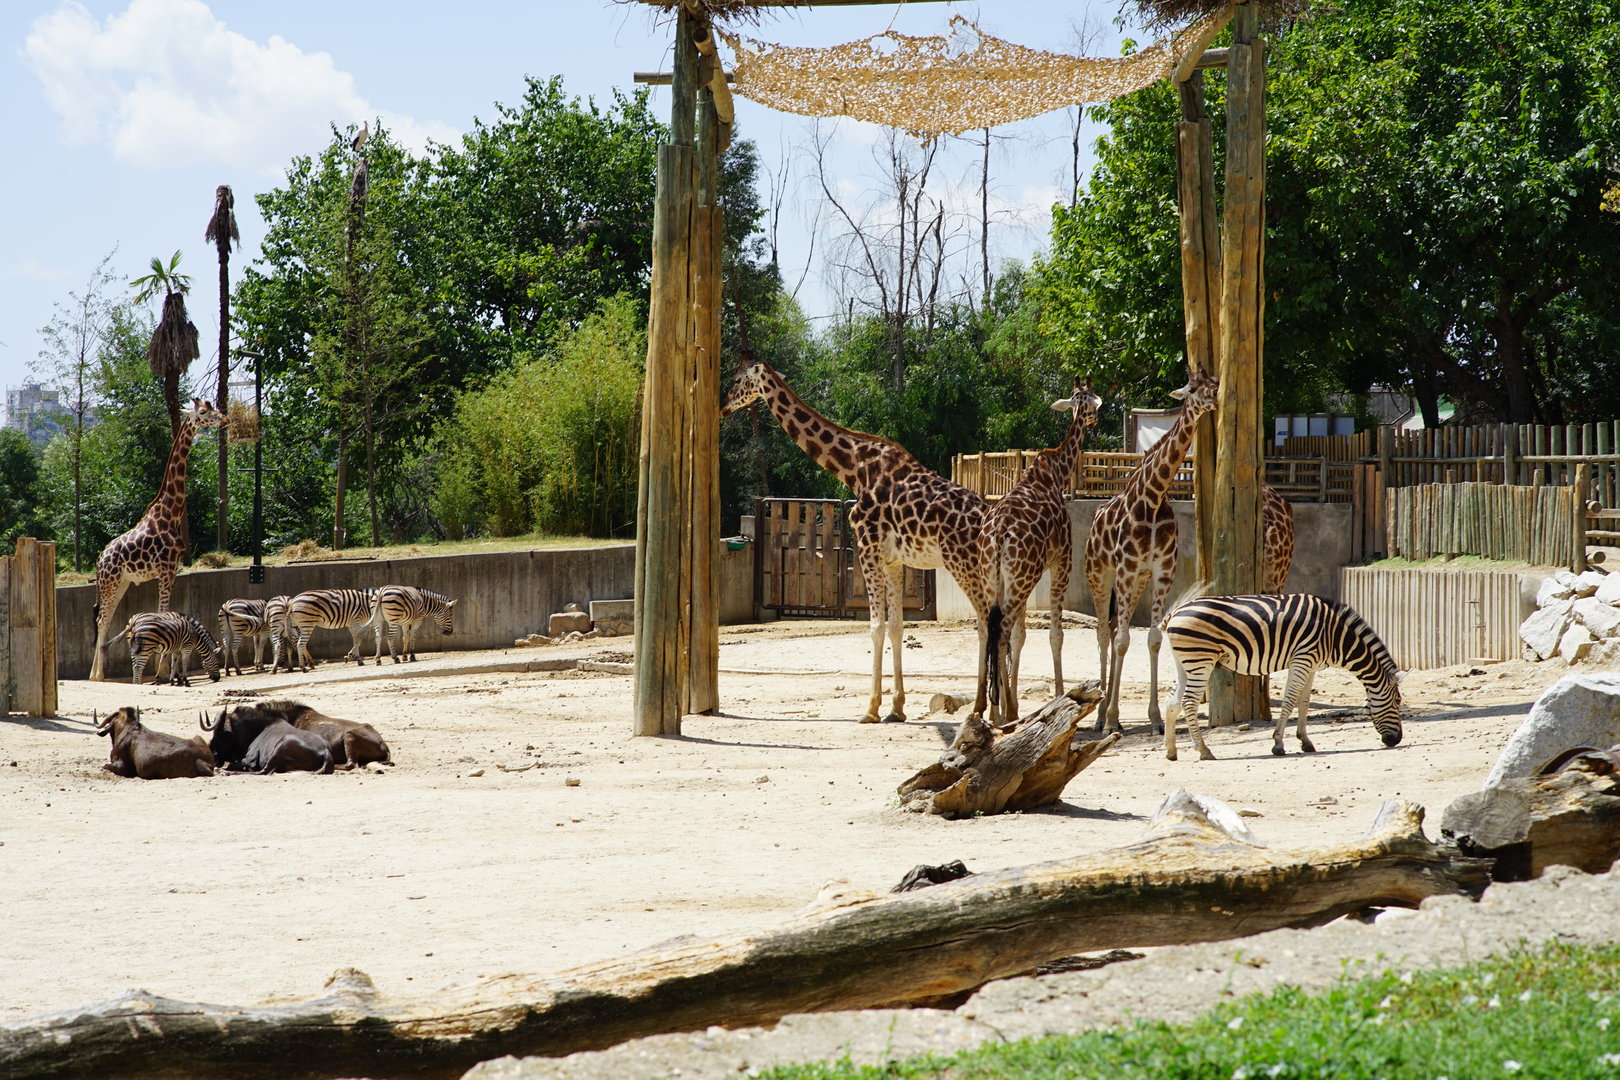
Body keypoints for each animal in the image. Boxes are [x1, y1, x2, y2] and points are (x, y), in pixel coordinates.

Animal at [89, 398, 227, 681]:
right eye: (204, 412)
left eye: (213, 408)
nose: (225, 418)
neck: (169, 513)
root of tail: (99, 560)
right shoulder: (166, 568)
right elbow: (164, 612)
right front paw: (162, 672)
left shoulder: (172, 569)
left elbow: (164, 611)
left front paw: (163, 669)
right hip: (110, 582)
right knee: (102, 619)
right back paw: (97, 675)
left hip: (122, 583)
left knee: (105, 618)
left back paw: (95, 674)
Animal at [721, 354, 991, 724]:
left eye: (736, 380)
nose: (722, 407)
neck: (853, 468)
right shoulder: (893, 560)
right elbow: (896, 626)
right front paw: (896, 708)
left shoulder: (867, 547)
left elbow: (875, 626)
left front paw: (871, 709)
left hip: (963, 562)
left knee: (987, 621)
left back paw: (982, 707)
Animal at [978, 376, 1102, 729]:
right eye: (1092, 398)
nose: (1094, 419)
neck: (1056, 472)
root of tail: (999, 534)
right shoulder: (1062, 561)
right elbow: (1055, 634)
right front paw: (1061, 697)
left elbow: (1021, 636)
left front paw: (1015, 704)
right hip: (1022, 576)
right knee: (1002, 629)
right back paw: (999, 713)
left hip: (995, 577)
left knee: (993, 628)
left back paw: (994, 711)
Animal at [1083, 367, 1219, 734]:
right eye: (1192, 388)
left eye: (1215, 383)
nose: (1214, 400)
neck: (1155, 497)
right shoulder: (1126, 569)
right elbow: (1121, 641)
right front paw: (1111, 721)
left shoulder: (1160, 571)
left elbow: (1154, 639)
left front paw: (1156, 718)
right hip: (1100, 575)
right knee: (1104, 634)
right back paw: (1100, 715)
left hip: (1135, 581)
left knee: (1115, 630)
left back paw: (1107, 712)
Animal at [1161, 593, 1403, 761]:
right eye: (1398, 701)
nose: (1396, 740)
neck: (1336, 636)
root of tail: (1175, 612)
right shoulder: (1302, 659)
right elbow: (1289, 701)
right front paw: (1278, 744)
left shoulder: (1312, 665)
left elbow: (1304, 702)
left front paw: (1306, 742)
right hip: (1201, 660)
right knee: (1189, 702)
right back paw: (1204, 750)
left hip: (1185, 662)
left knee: (1173, 702)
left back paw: (1171, 751)